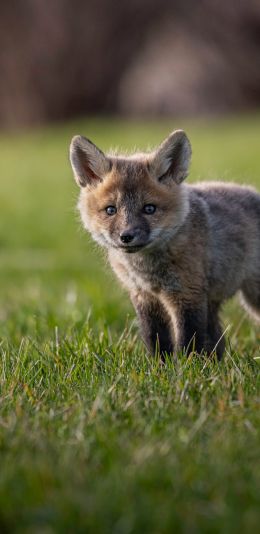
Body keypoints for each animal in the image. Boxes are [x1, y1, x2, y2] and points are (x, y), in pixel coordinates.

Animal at [69, 132, 260, 362]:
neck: (148, 271)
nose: (127, 236)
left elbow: (188, 340)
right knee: (217, 340)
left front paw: (189, 368)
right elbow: (155, 338)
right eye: (110, 210)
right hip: (212, 302)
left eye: (149, 209)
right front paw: (159, 366)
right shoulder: (144, 296)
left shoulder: (187, 293)